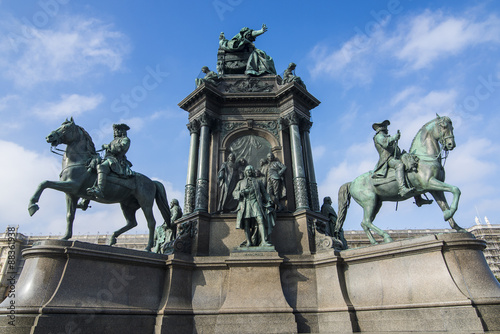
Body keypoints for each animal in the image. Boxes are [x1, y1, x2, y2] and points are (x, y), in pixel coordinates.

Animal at [27, 117, 172, 250]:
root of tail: (152, 181)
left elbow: (44, 183)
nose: (49, 136)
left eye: (66, 128)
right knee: (132, 223)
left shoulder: (72, 185)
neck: (79, 161)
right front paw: (65, 237)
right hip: (127, 204)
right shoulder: (71, 193)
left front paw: (32, 205)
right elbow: (69, 215)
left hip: (145, 203)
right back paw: (112, 238)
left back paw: (148, 248)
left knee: (151, 222)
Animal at [336, 115, 464, 245]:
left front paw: (456, 226)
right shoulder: (429, 183)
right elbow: (456, 189)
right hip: (369, 201)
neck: (425, 157)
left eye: (452, 127)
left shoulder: (434, 188)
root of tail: (352, 182)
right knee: (366, 221)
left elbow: (445, 204)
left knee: (365, 223)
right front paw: (449, 214)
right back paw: (386, 237)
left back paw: (375, 242)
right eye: (444, 126)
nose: (451, 144)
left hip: (377, 203)